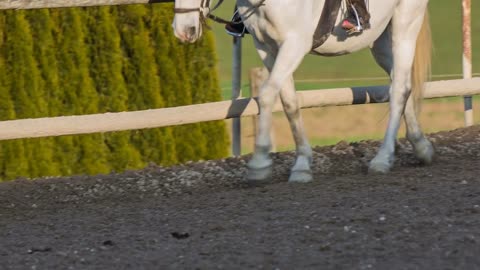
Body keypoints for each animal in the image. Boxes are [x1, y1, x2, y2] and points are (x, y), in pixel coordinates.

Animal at [172, 0, 436, 182]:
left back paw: (382, 159)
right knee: (402, 84)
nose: (183, 30)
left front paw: (260, 163)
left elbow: (266, 95)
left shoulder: (294, 44)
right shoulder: (267, 48)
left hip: (405, 23)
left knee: (399, 88)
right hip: (379, 40)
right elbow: (289, 102)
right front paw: (301, 165)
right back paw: (421, 147)